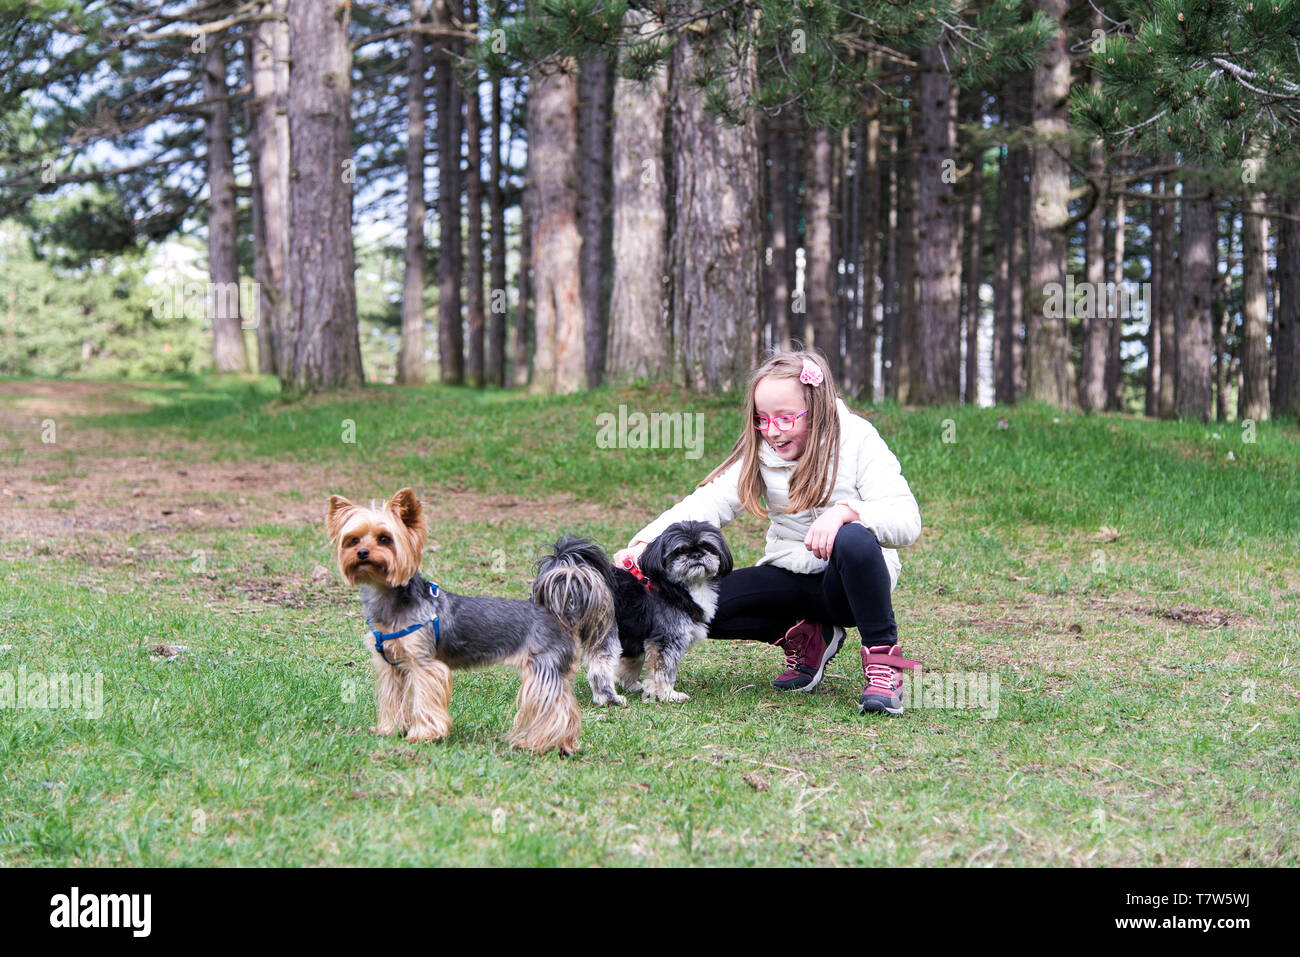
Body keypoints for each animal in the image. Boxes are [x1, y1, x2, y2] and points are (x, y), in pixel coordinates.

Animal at [325, 494, 608, 754]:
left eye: (385, 538)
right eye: (353, 539)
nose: (362, 553)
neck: (389, 598)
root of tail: (558, 614)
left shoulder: (424, 665)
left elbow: (425, 701)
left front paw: (423, 735)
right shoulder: (392, 666)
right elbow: (391, 699)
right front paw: (389, 730)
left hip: (543, 667)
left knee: (559, 711)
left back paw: (540, 744)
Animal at [530, 522, 733, 702]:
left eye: (708, 546)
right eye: (679, 551)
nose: (697, 554)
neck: (676, 587)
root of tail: (571, 581)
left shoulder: (638, 636)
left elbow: (632, 663)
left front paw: (632, 685)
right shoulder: (666, 640)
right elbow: (664, 672)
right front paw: (668, 695)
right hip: (606, 632)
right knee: (599, 670)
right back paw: (609, 699)